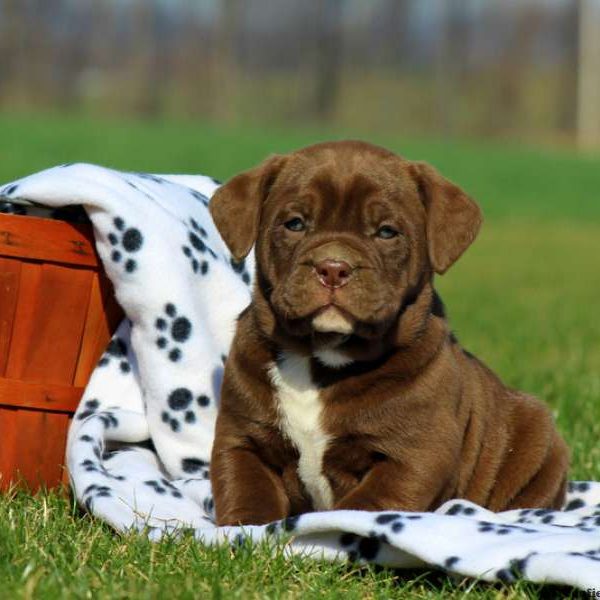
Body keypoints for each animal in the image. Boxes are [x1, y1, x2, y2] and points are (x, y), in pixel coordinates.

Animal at [209, 141, 568, 524]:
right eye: (295, 224)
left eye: (386, 232)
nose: (333, 268)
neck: (320, 357)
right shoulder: (241, 438)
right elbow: (248, 492)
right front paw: (246, 529)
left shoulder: (414, 454)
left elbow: (365, 506)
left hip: (539, 443)